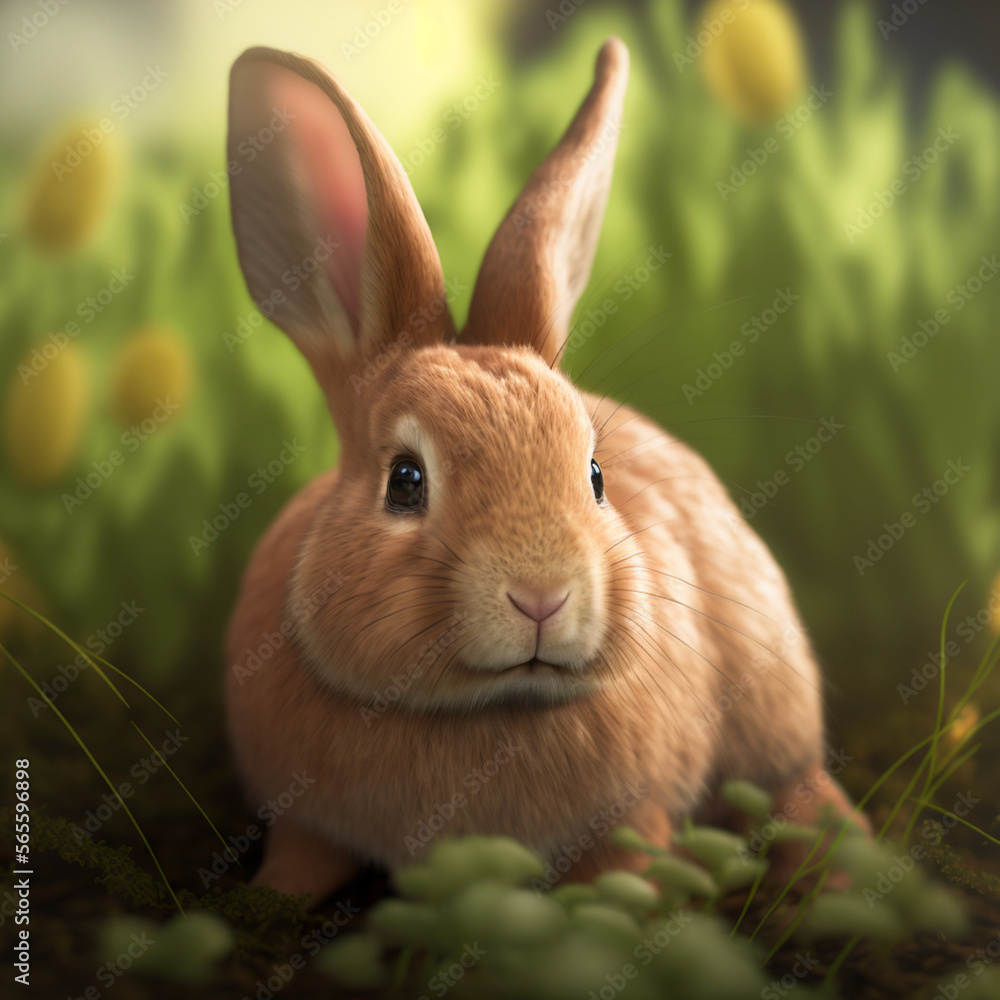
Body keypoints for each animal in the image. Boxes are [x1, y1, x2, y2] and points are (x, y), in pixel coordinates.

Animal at [224, 37, 864, 902]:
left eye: (594, 476)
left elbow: (627, 869)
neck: (487, 706)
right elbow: (301, 858)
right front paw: (271, 899)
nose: (542, 596)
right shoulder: (303, 818)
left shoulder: (638, 811)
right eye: (405, 481)